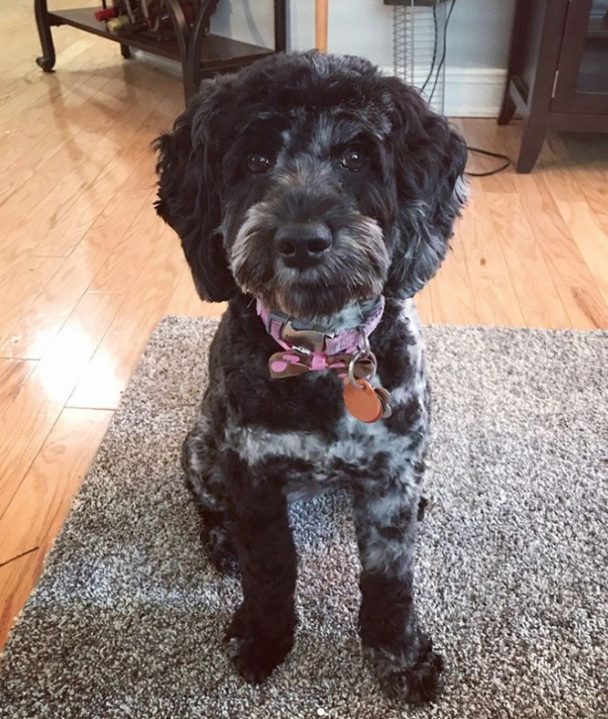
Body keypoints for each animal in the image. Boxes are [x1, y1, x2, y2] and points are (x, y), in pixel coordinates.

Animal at [154, 50, 468, 704]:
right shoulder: (253, 477)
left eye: (355, 156)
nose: (301, 241)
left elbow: (390, 583)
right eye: (254, 160)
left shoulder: (391, 476)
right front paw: (265, 639)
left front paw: (399, 658)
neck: (323, 356)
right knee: (209, 506)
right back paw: (221, 540)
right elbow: (269, 570)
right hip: (201, 446)